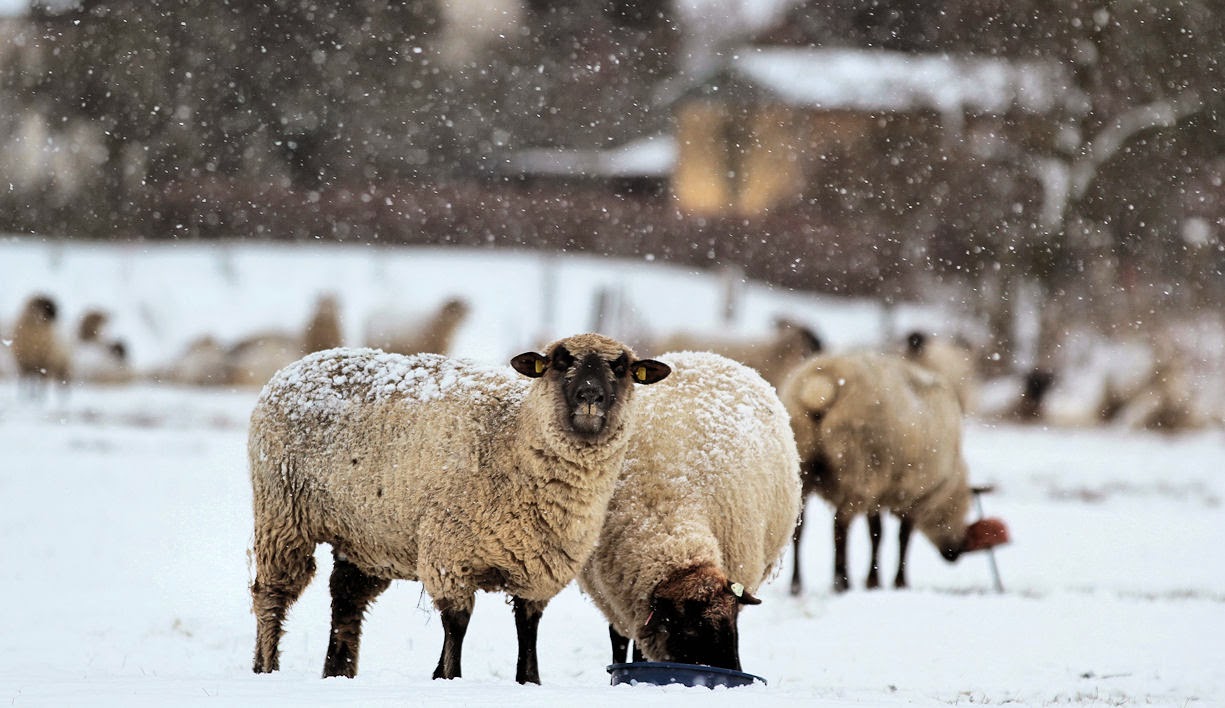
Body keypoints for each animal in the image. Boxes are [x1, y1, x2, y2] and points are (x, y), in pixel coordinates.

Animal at [247, 333, 671, 684]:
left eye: (622, 368)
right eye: (559, 362)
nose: (589, 397)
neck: (511, 438)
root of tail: (301, 363)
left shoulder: (537, 567)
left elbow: (528, 629)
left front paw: (529, 682)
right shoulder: (448, 554)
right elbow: (457, 625)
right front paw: (447, 677)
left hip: (363, 534)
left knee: (346, 598)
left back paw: (338, 672)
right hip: (281, 515)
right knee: (271, 595)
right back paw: (266, 667)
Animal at [578, 351, 802, 670]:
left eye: (733, 627)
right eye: (691, 631)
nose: (733, 672)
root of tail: (703, 355)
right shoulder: (615, 599)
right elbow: (619, 640)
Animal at [779, 352, 1009, 594]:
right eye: (963, 508)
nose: (955, 552)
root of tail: (820, 386)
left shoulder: (880, 492)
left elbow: (876, 534)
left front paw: (874, 581)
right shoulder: (912, 493)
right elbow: (903, 537)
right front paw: (899, 582)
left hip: (803, 469)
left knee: (798, 529)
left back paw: (796, 584)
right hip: (858, 467)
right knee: (841, 525)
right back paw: (841, 582)